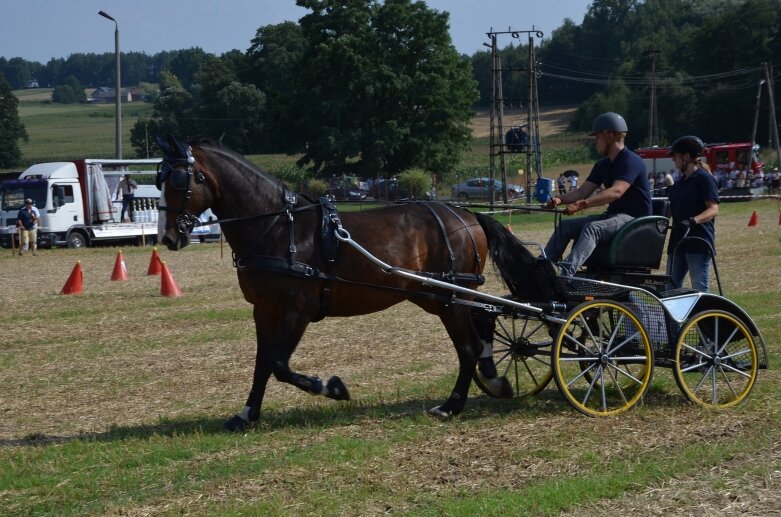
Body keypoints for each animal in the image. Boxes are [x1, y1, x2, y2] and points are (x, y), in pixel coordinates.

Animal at [154, 135, 556, 430]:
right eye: (160, 179)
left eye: (179, 180)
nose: (169, 237)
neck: (278, 227)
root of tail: (466, 214)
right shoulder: (264, 311)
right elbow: (263, 362)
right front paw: (246, 414)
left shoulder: (296, 311)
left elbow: (280, 365)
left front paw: (333, 387)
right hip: (436, 295)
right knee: (484, 323)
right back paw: (493, 380)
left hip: (448, 296)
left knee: (469, 346)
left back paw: (452, 405)